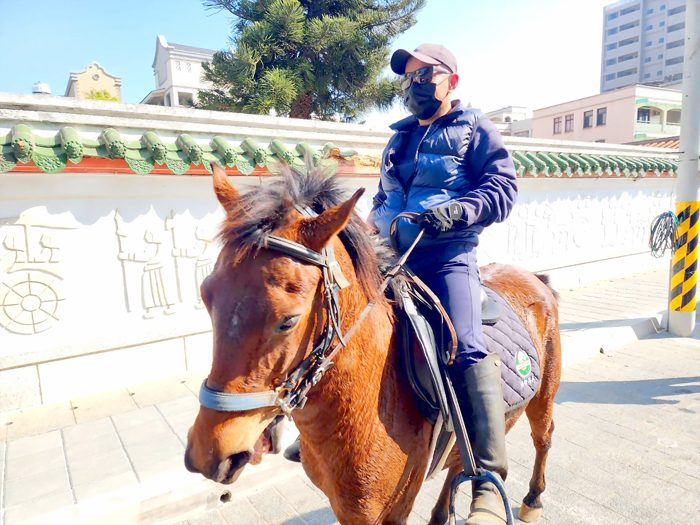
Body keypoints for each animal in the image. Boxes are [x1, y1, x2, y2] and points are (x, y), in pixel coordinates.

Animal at [183, 166, 560, 524]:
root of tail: (533, 277)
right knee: (458, 464)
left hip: (544, 393)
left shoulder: (386, 511)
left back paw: (531, 498)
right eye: (206, 296)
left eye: (287, 320)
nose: (209, 454)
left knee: (542, 436)